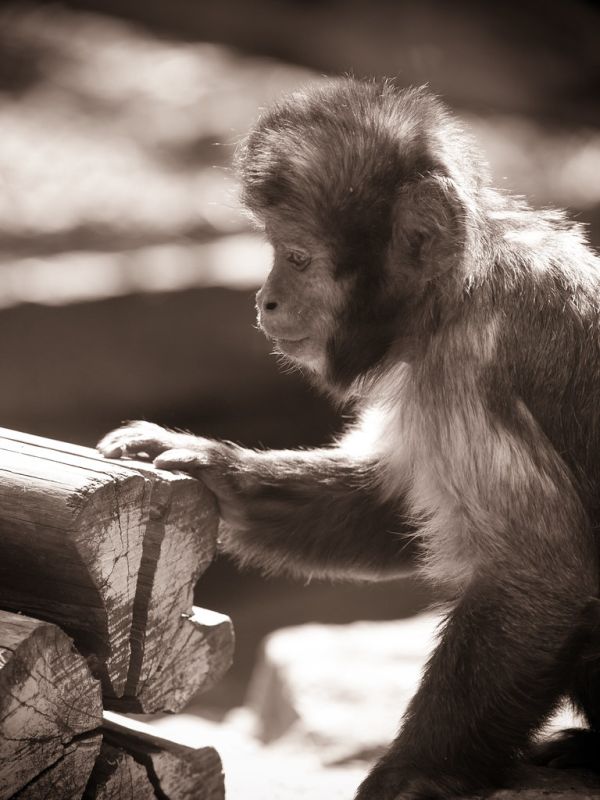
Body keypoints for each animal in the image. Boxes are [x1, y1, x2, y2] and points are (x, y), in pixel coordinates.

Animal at [98, 78, 600, 799]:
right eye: (276, 252)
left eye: (297, 257)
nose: (265, 298)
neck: (455, 293)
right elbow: (388, 509)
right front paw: (211, 466)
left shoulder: (476, 359)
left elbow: (542, 575)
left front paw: (414, 773)